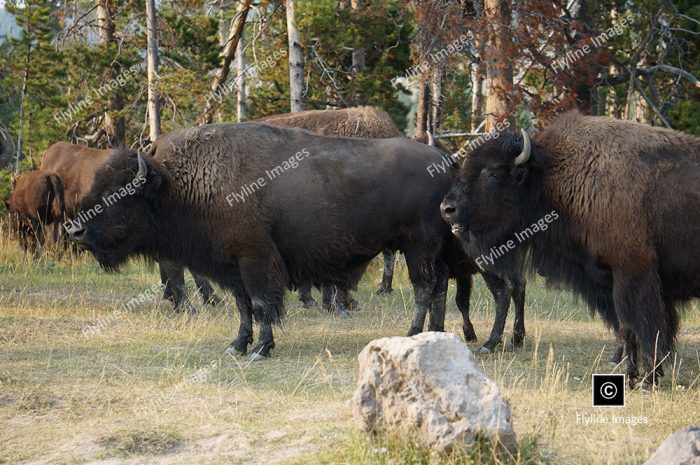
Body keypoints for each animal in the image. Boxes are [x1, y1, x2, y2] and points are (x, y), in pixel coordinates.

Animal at [68, 121, 454, 358]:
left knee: (424, 287)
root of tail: (444, 160)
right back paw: (436, 332)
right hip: (430, 250)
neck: (181, 185)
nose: (75, 230)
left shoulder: (255, 260)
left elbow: (260, 304)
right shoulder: (232, 266)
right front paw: (237, 345)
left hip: (418, 247)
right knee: (437, 287)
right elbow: (243, 307)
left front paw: (260, 349)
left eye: (119, 193)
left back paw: (412, 333)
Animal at [442, 110, 700, 386]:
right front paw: (632, 374)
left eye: (494, 172)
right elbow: (627, 327)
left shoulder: (633, 276)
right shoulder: (609, 281)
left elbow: (643, 326)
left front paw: (646, 378)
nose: (447, 209)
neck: (555, 175)